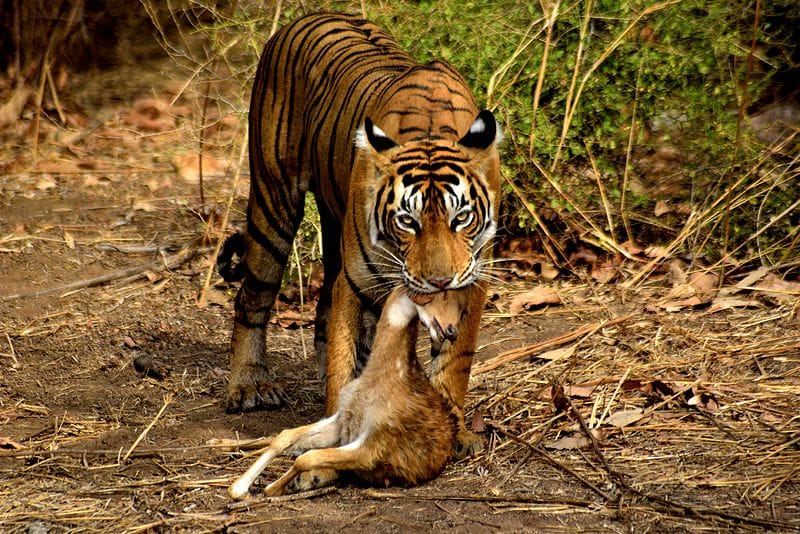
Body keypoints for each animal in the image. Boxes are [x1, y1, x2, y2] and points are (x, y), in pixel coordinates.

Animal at [219, 10, 504, 458]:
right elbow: (344, 359)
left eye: (461, 218)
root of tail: (310, 15)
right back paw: (250, 385)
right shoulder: (356, 284)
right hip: (273, 199)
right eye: (407, 221)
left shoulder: (470, 283)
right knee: (252, 298)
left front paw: (454, 433)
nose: (439, 280)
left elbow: (454, 362)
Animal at [227, 286, 462, 500]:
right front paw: (238, 489)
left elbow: (306, 458)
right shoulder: (342, 418)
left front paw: (271, 489)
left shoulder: (376, 444)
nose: (452, 331)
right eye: (439, 291)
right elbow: (284, 437)